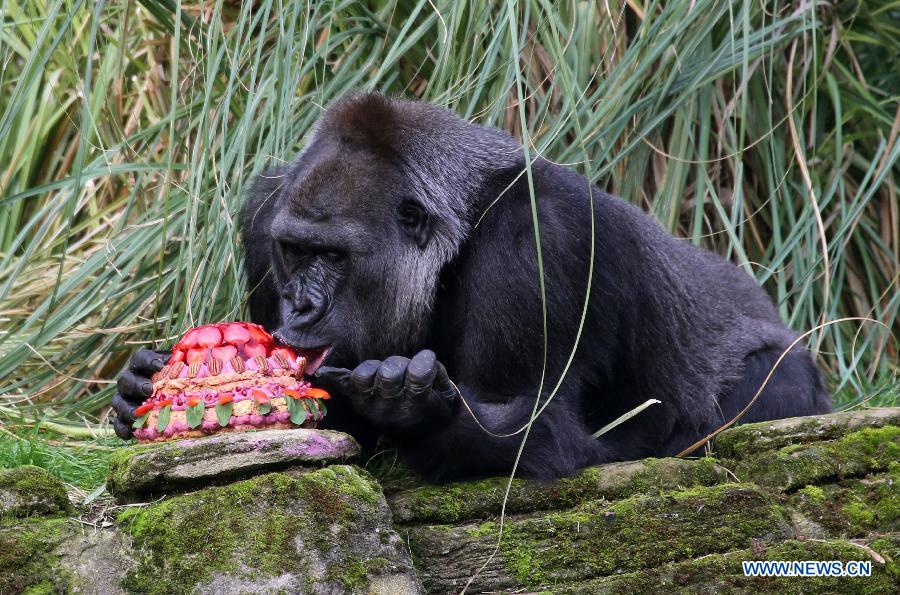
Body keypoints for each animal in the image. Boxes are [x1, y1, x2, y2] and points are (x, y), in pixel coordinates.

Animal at [116, 93, 832, 484]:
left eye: (333, 256)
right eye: (295, 254)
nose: (301, 304)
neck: (458, 223)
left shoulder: (540, 235)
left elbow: (539, 429)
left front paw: (415, 406)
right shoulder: (266, 212)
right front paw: (134, 388)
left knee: (766, 390)